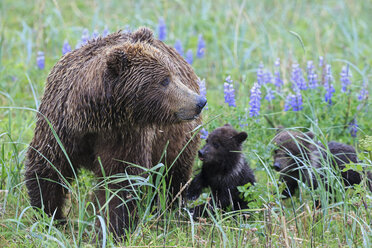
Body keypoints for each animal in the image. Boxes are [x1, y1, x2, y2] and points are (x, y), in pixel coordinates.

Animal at [24, 26, 208, 238]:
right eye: (164, 80)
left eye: (174, 74)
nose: (199, 101)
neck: (96, 118)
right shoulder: (62, 128)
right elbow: (48, 169)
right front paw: (51, 218)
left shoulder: (124, 136)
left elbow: (120, 182)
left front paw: (110, 230)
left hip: (176, 141)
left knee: (172, 176)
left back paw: (166, 209)